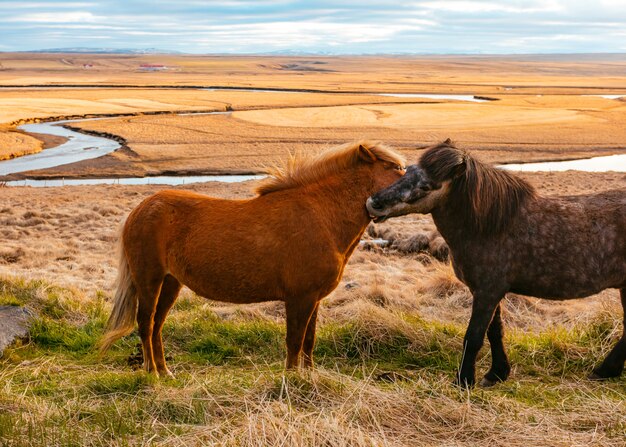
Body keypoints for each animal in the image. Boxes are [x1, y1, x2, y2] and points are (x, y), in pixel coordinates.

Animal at [99, 142, 402, 376]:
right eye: (397, 170)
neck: (320, 215)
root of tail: (140, 210)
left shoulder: (313, 299)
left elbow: (309, 341)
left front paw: (309, 376)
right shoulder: (299, 298)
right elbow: (294, 342)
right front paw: (292, 381)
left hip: (171, 282)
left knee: (157, 325)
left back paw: (164, 371)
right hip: (149, 280)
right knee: (145, 323)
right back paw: (152, 373)